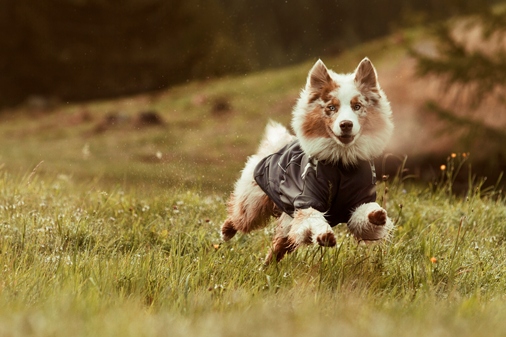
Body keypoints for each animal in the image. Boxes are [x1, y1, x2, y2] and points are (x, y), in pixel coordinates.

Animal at [221, 57, 396, 262]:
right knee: (239, 217)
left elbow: (365, 215)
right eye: (331, 108)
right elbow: (314, 219)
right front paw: (325, 235)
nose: (346, 124)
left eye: (357, 106)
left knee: (277, 247)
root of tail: (278, 145)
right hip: (254, 202)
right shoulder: (307, 200)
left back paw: (266, 266)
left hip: (287, 224)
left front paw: (377, 215)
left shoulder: (359, 200)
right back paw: (226, 232)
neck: (341, 164)